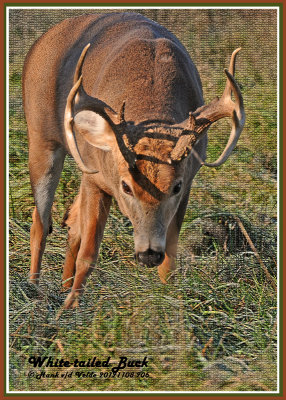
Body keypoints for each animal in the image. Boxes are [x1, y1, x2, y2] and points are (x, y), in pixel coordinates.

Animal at [22, 11, 246, 306]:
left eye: (176, 186)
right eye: (126, 186)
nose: (148, 254)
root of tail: (43, 39)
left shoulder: (188, 182)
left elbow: (170, 260)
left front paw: (168, 303)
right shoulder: (97, 179)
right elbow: (88, 255)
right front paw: (69, 309)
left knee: (71, 223)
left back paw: (62, 286)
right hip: (41, 138)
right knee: (40, 221)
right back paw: (33, 289)